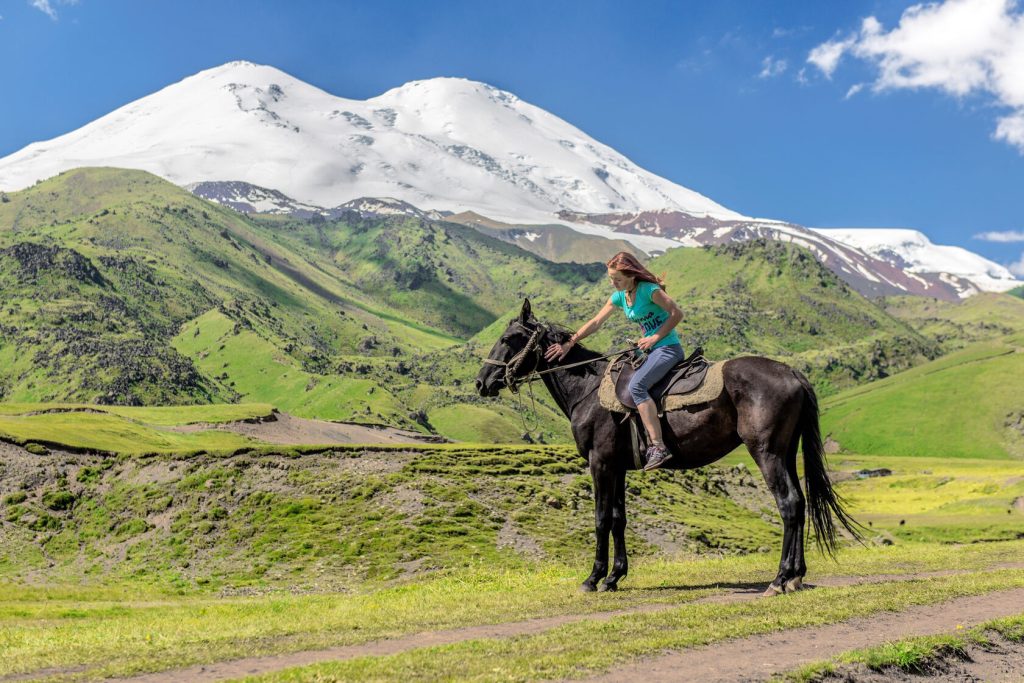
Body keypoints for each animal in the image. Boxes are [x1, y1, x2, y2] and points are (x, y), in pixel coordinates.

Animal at [475, 299, 862, 595]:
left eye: (508, 338)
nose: (481, 382)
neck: (587, 390)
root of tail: (792, 373)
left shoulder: (601, 463)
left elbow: (601, 519)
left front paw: (593, 578)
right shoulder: (618, 466)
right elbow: (619, 519)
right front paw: (615, 577)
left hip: (766, 453)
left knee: (789, 505)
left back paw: (779, 579)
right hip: (786, 453)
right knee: (801, 503)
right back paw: (795, 576)